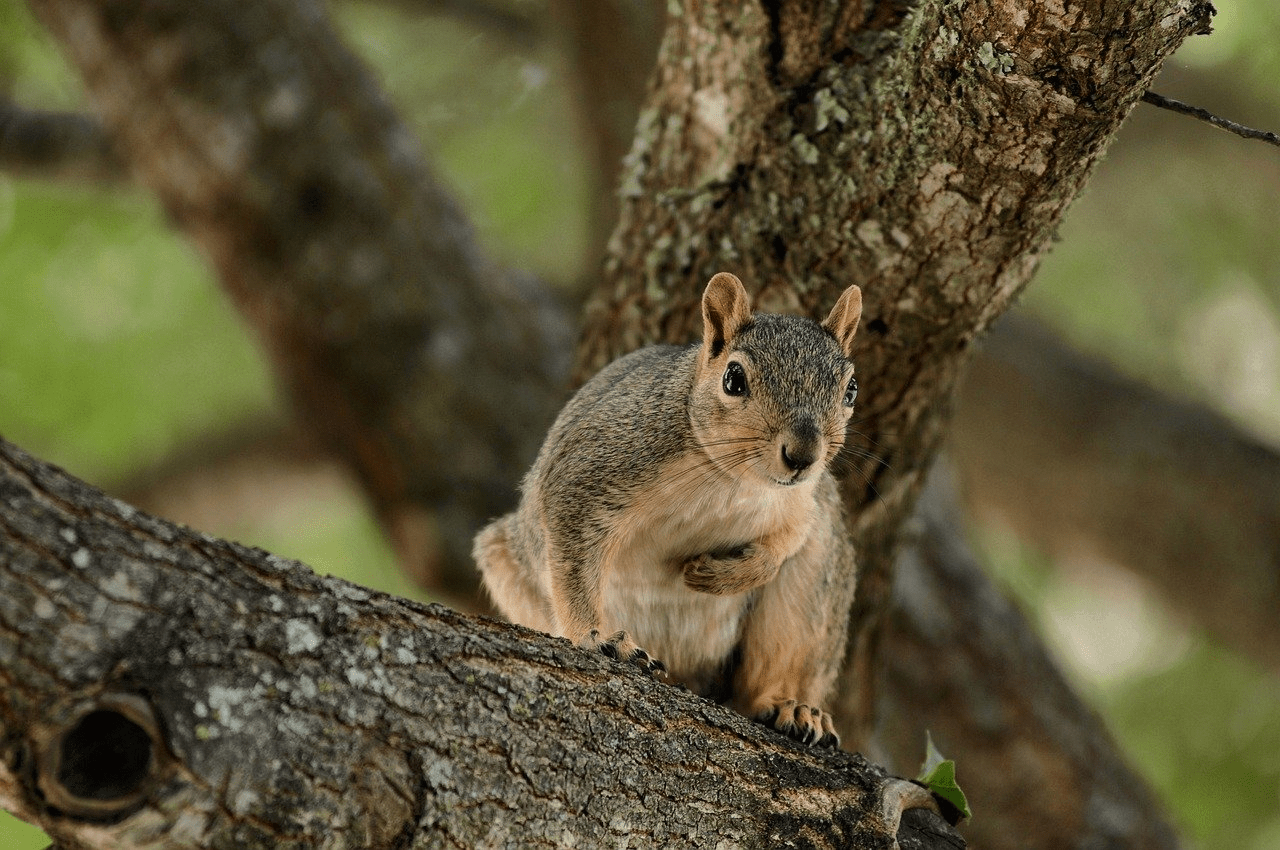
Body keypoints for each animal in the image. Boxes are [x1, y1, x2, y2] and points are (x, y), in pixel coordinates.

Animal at [473, 271, 862, 747]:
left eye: (850, 389)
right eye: (734, 379)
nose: (803, 456)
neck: (730, 480)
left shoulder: (805, 502)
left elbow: (785, 542)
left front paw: (720, 575)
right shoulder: (592, 469)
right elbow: (571, 555)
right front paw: (593, 637)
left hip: (813, 588)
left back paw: (793, 708)